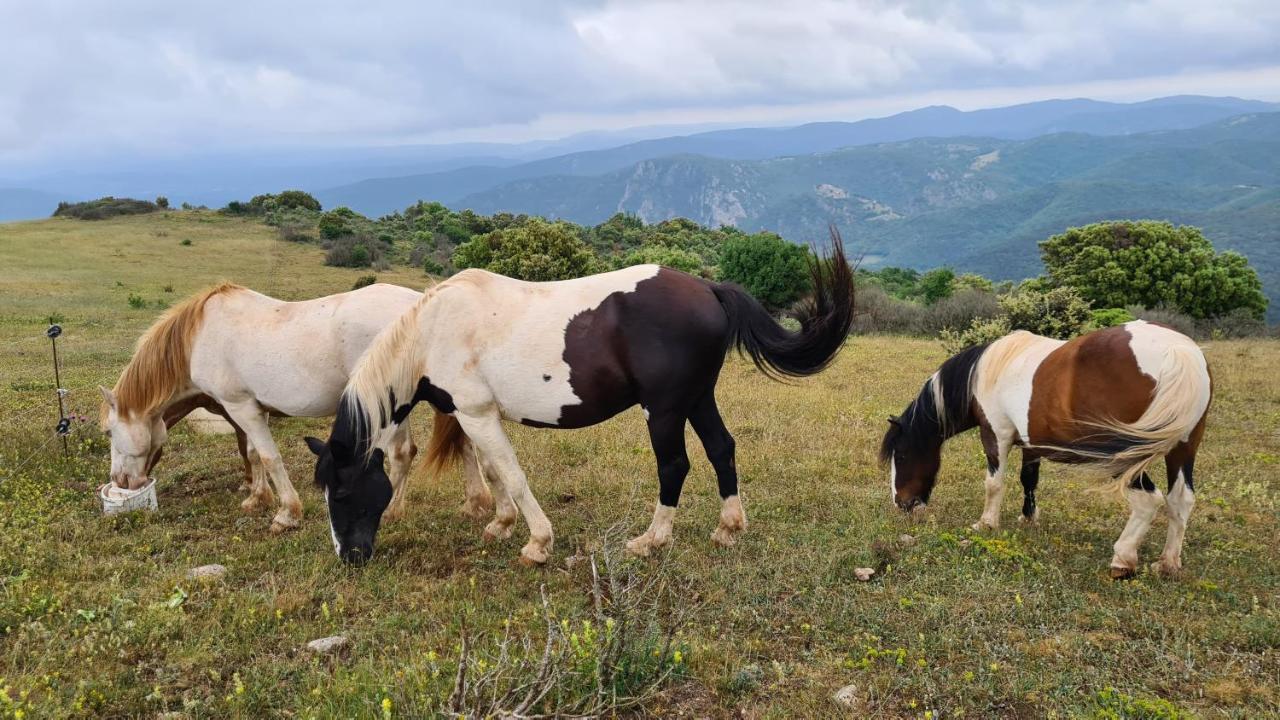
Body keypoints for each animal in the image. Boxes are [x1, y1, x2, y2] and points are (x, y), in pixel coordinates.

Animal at [97, 283, 488, 530]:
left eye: (109, 432)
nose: (120, 481)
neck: (200, 337)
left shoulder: (241, 408)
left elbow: (269, 457)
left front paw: (287, 513)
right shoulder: (251, 409)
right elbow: (253, 454)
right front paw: (257, 498)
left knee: (403, 453)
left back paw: (390, 510)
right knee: (466, 445)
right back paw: (474, 503)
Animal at [304, 238, 855, 563]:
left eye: (344, 492)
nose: (349, 557)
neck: (433, 331)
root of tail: (707, 287)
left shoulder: (476, 413)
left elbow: (512, 474)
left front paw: (537, 542)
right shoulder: (472, 414)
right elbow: (493, 471)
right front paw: (500, 524)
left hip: (665, 409)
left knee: (674, 466)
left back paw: (652, 539)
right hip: (698, 398)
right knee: (723, 449)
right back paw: (727, 529)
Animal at [880, 320, 1208, 576]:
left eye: (903, 455)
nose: (901, 503)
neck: (984, 372)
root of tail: (1177, 350)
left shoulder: (995, 434)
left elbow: (994, 484)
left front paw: (986, 523)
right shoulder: (1031, 443)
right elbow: (1029, 480)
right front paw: (1028, 518)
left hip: (1123, 456)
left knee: (1148, 500)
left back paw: (1123, 559)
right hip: (1182, 449)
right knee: (1180, 500)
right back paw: (1167, 563)